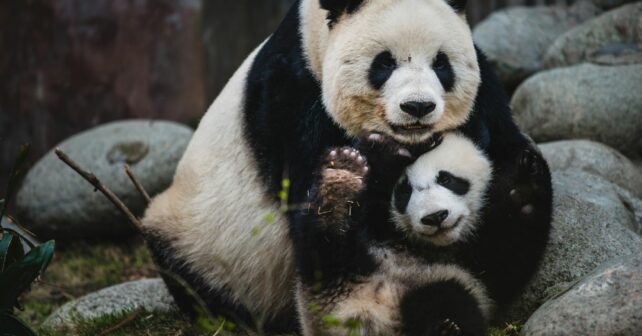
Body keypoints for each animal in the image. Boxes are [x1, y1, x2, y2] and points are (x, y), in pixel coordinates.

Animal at [141, 0, 552, 332]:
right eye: (384, 63)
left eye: (441, 63)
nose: (418, 107)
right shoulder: (291, 99)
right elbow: (313, 202)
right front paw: (364, 169)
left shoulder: (486, 94)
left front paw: (517, 187)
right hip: (202, 242)